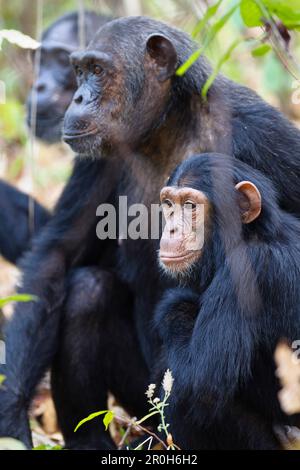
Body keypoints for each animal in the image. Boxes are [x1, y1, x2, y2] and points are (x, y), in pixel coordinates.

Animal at [156, 152, 300, 450]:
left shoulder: (246, 272)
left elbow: (202, 382)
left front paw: (174, 302)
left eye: (190, 206)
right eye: (169, 204)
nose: (171, 229)